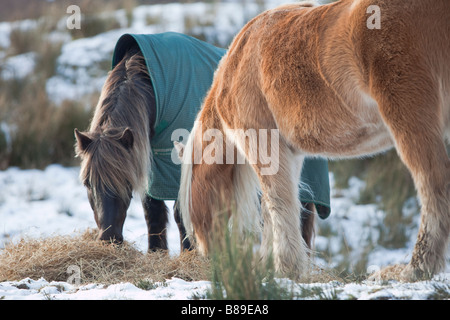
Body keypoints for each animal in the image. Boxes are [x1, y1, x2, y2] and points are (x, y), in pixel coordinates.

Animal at [179, 0, 450, 280]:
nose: (207, 258)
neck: (238, 63)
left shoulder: (263, 144)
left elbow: (278, 203)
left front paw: (285, 269)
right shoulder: (290, 154)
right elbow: (276, 208)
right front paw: (269, 266)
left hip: (409, 117)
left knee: (433, 184)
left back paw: (417, 269)